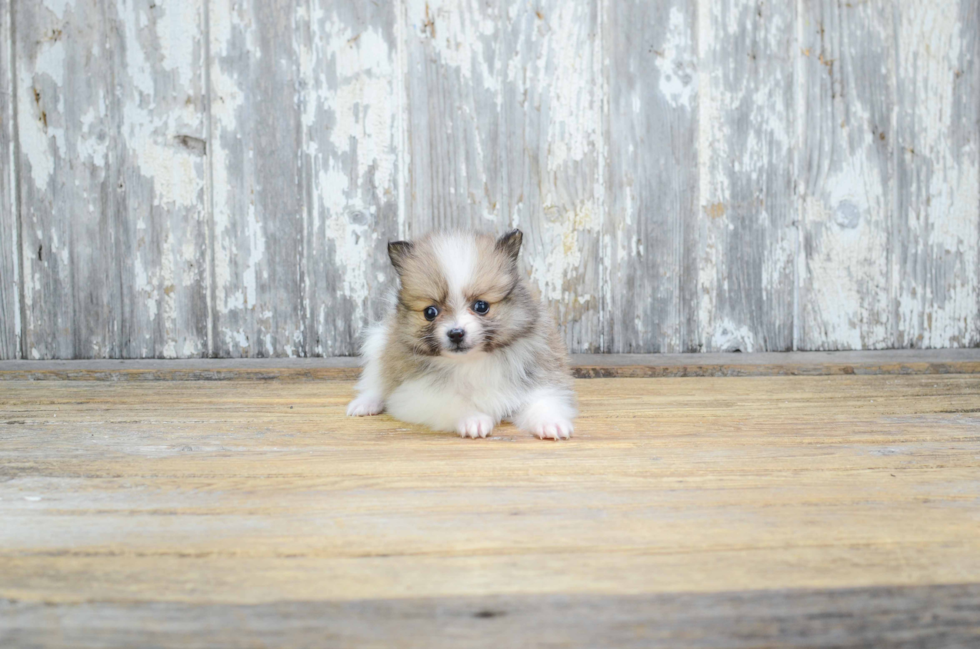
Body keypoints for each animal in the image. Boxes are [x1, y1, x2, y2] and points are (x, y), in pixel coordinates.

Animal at [346, 229, 580, 440]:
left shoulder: (539, 374)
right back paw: (365, 404)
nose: (456, 333)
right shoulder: (418, 393)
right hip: (379, 344)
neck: (471, 361)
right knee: (375, 382)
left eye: (481, 306)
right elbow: (453, 402)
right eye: (430, 312)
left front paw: (551, 423)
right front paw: (473, 420)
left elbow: (542, 400)